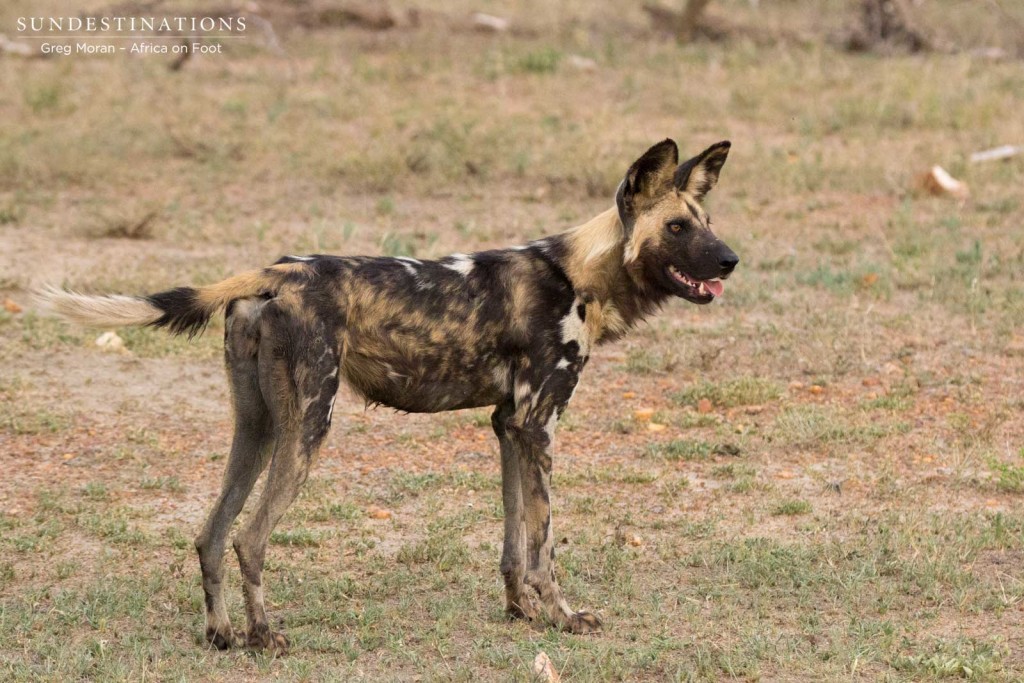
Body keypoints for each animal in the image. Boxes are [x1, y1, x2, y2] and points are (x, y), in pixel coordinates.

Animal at [44, 137, 741, 651]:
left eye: (707, 223)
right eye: (676, 227)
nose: (732, 260)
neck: (580, 272)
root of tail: (278, 271)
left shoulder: (509, 425)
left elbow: (514, 541)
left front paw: (521, 612)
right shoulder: (539, 426)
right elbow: (543, 544)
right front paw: (564, 618)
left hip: (257, 428)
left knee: (212, 534)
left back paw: (221, 636)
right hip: (308, 427)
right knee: (250, 538)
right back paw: (266, 637)